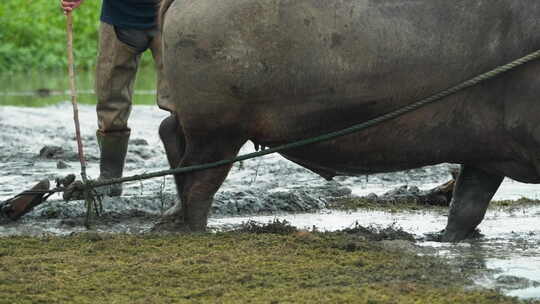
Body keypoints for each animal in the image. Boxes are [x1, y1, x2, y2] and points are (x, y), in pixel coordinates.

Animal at [156, 0, 540, 242]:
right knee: (198, 181)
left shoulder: (484, 156)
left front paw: (446, 240)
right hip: (217, 132)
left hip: (201, 127)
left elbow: (466, 209)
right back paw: (195, 228)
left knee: (172, 139)